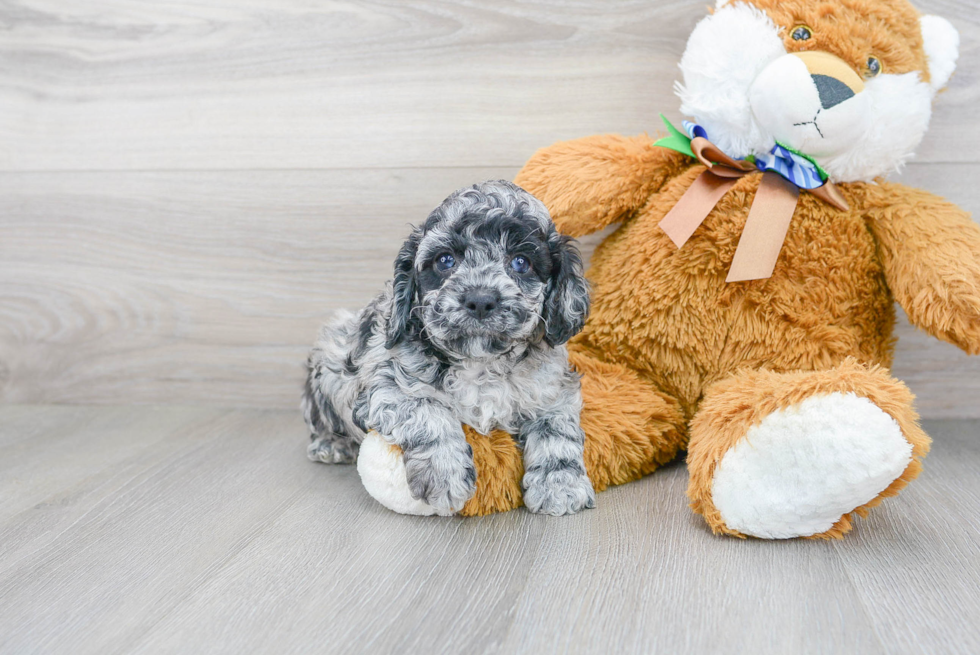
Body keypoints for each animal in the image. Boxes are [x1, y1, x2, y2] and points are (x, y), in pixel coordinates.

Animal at [302, 179, 592, 516]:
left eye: (521, 262)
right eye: (445, 260)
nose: (480, 300)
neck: (482, 363)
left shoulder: (554, 389)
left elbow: (557, 429)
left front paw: (561, 485)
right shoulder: (386, 386)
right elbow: (428, 410)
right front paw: (445, 476)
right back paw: (332, 445)